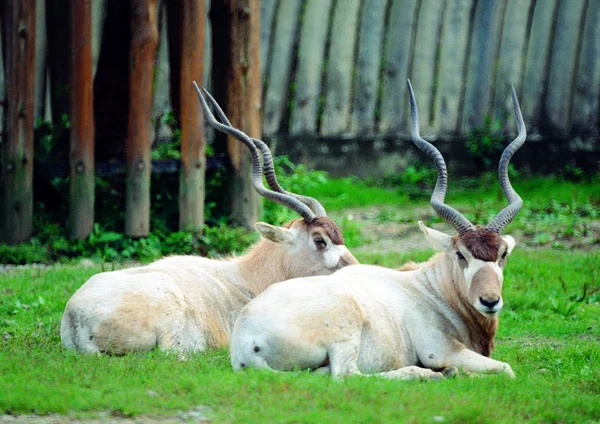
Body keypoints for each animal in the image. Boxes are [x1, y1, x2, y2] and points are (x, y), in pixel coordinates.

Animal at [232, 81, 528, 380]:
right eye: (461, 255)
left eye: (503, 254)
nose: (490, 301)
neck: (430, 289)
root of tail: (245, 342)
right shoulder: (441, 350)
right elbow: (506, 369)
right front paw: (452, 371)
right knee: (347, 374)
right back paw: (428, 374)